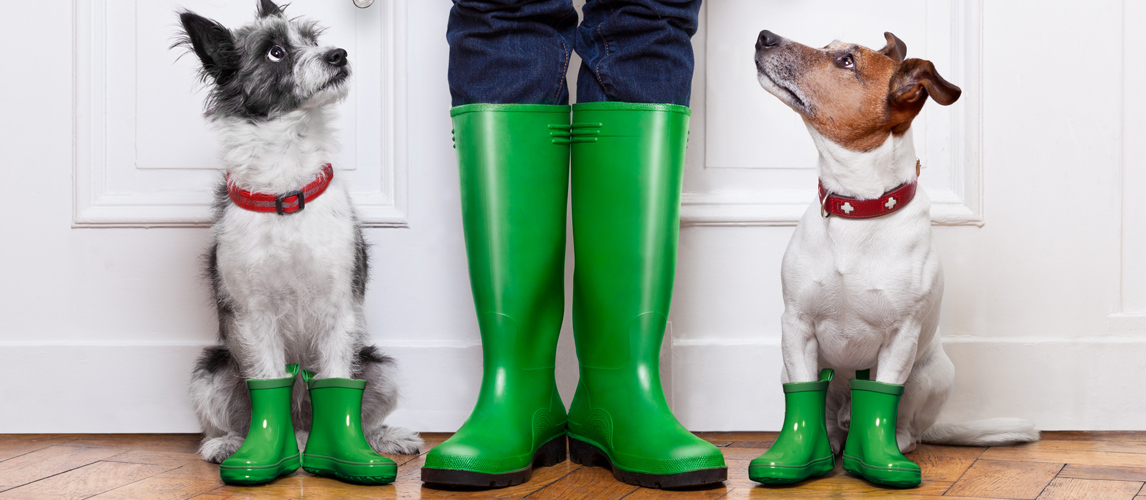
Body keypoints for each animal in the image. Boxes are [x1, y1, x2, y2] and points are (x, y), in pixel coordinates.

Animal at [174, 0, 417, 463]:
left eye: (312, 39)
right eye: (276, 52)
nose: (338, 54)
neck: (286, 181)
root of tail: (304, 431)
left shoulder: (339, 310)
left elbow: (339, 380)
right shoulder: (253, 316)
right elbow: (268, 379)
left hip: (382, 367)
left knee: (365, 414)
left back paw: (384, 438)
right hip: (209, 371)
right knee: (234, 416)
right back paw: (228, 443)